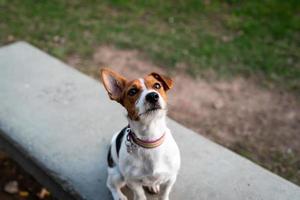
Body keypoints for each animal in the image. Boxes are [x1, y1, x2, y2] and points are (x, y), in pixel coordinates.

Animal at [100, 68, 180, 199]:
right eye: (132, 91)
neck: (150, 138)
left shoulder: (171, 178)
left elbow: (164, 193)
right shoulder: (132, 181)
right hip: (118, 175)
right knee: (110, 184)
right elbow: (140, 195)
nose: (152, 96)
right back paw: (119, 196)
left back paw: (153, 186)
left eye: (157, 85)